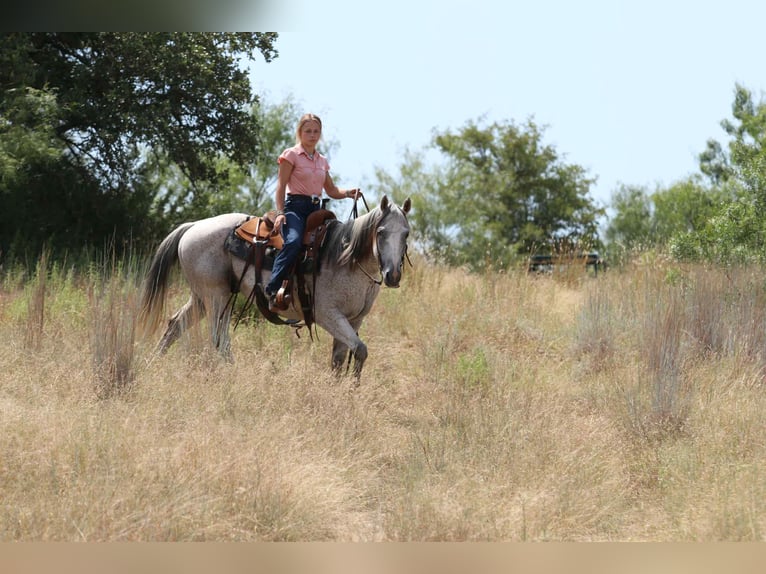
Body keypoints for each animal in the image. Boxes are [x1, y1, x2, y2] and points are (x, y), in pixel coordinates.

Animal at [138, 195, 411, 378]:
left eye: (406, 233)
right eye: (381, 231)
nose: (393, 275)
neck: (345, 258)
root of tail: (193, 226)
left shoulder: (354, 319)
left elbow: (342, 357)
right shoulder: (328, 315)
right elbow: (360, 350)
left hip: (202, 296)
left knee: (176, 324)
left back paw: (152, 365)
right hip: (217, 295)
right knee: (219, 339)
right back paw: (236, 376)